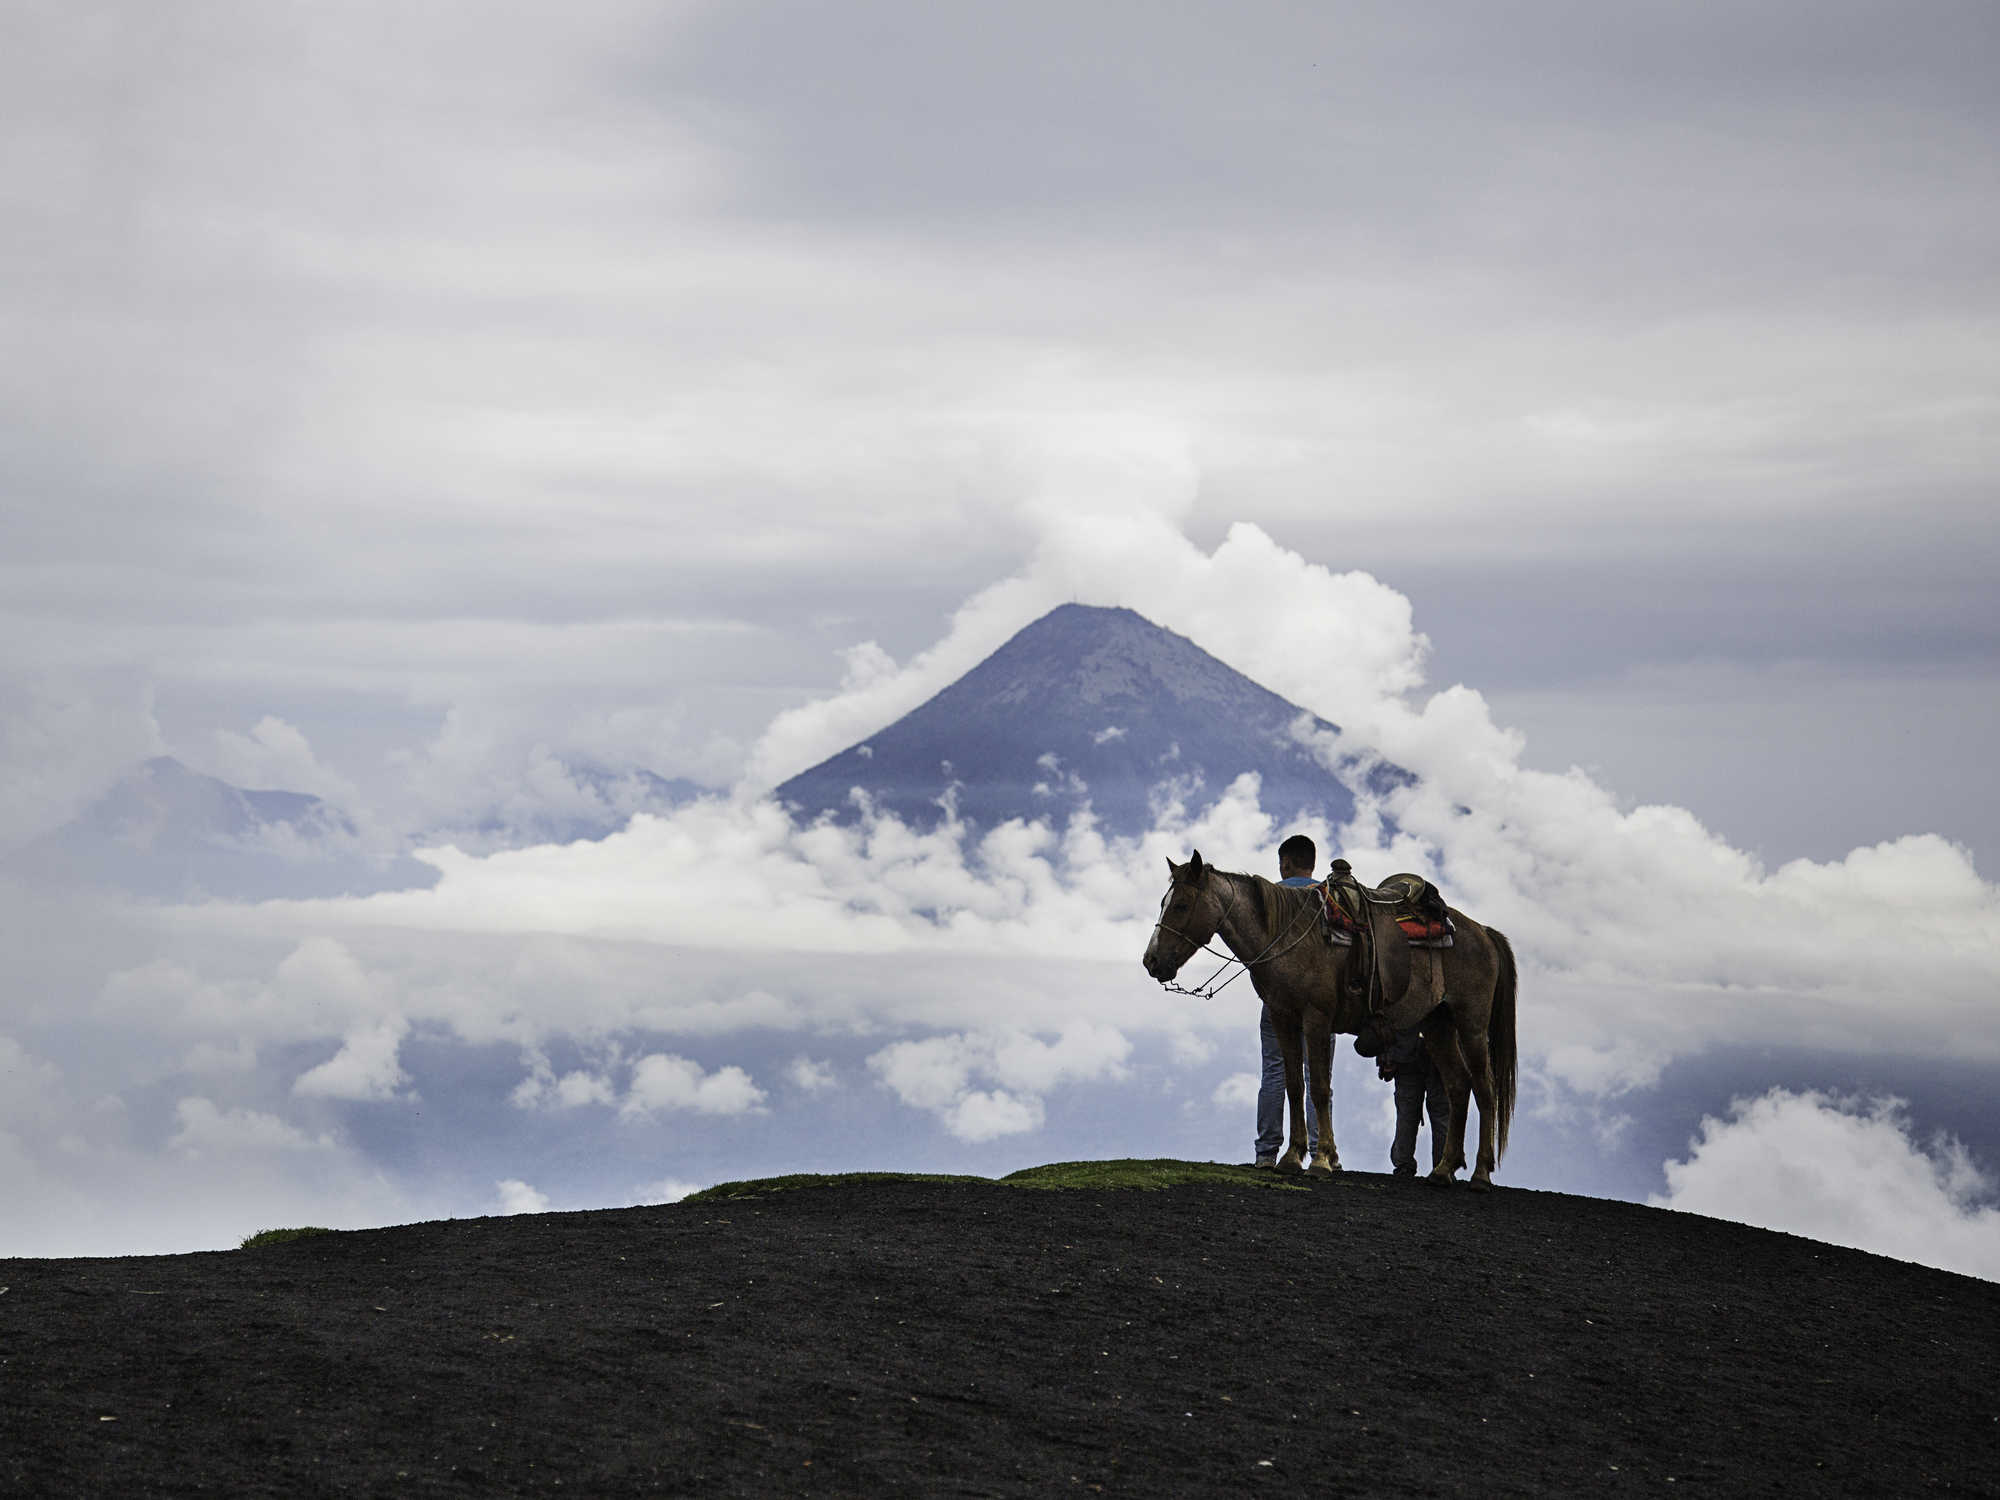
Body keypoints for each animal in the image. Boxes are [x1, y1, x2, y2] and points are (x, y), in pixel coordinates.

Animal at [1144, 852, 1512, 1192]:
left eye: (1181, 905)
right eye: (1164, 903)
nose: (1151, 961)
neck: (1286, 935)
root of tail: (1482, 932)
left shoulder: (1316, 1019)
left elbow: (1319, 1088)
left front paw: (1320, 1160)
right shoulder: (1283, 1018)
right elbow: (1294, 1086)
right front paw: (1292, 1158)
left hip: (1472, 1024)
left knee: (1484, 1089)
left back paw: (1480, 1174)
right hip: (1437, 1025)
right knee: (1458, 1087)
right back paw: (1443, 1170)